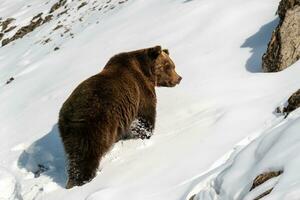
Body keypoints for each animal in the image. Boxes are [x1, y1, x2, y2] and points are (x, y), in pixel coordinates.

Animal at [57, 45, 182, 189]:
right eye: (169, 66)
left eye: (173, 65)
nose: (179, 78)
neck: (145, 71)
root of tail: (68, 115)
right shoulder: (140, 92)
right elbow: (144, 118)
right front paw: (146, 135)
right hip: (93, 124)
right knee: (87, 154)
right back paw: (85, 179)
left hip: (69, 135)